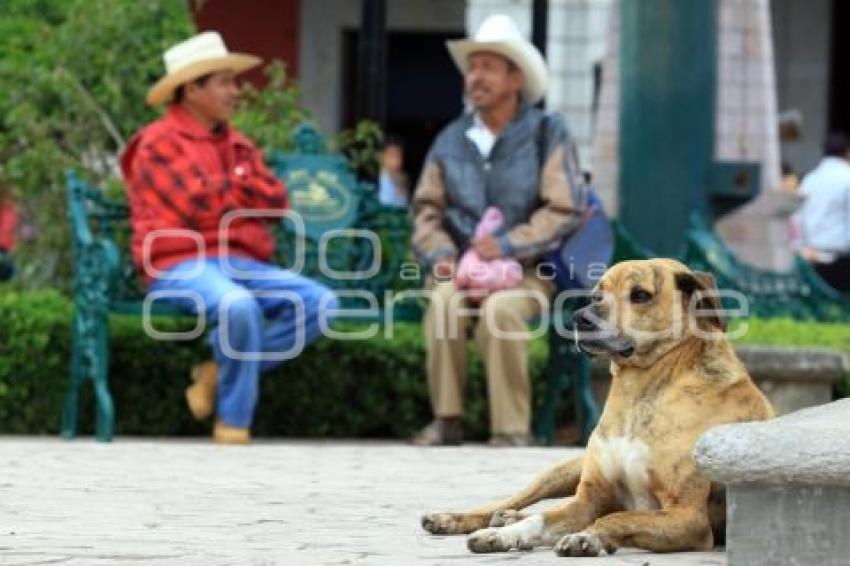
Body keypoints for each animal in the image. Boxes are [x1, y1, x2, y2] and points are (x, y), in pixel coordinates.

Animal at [420, 260, 772, 560]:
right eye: (596, 295)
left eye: (640, 295)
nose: (580, 318)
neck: (637, 392)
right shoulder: (587, 500)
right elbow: (542, 518)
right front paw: (504, 536)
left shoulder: (688, 517)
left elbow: (619, 517)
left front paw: (588, 536)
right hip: (561, 471)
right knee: (516, 500)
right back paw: (464, 518)